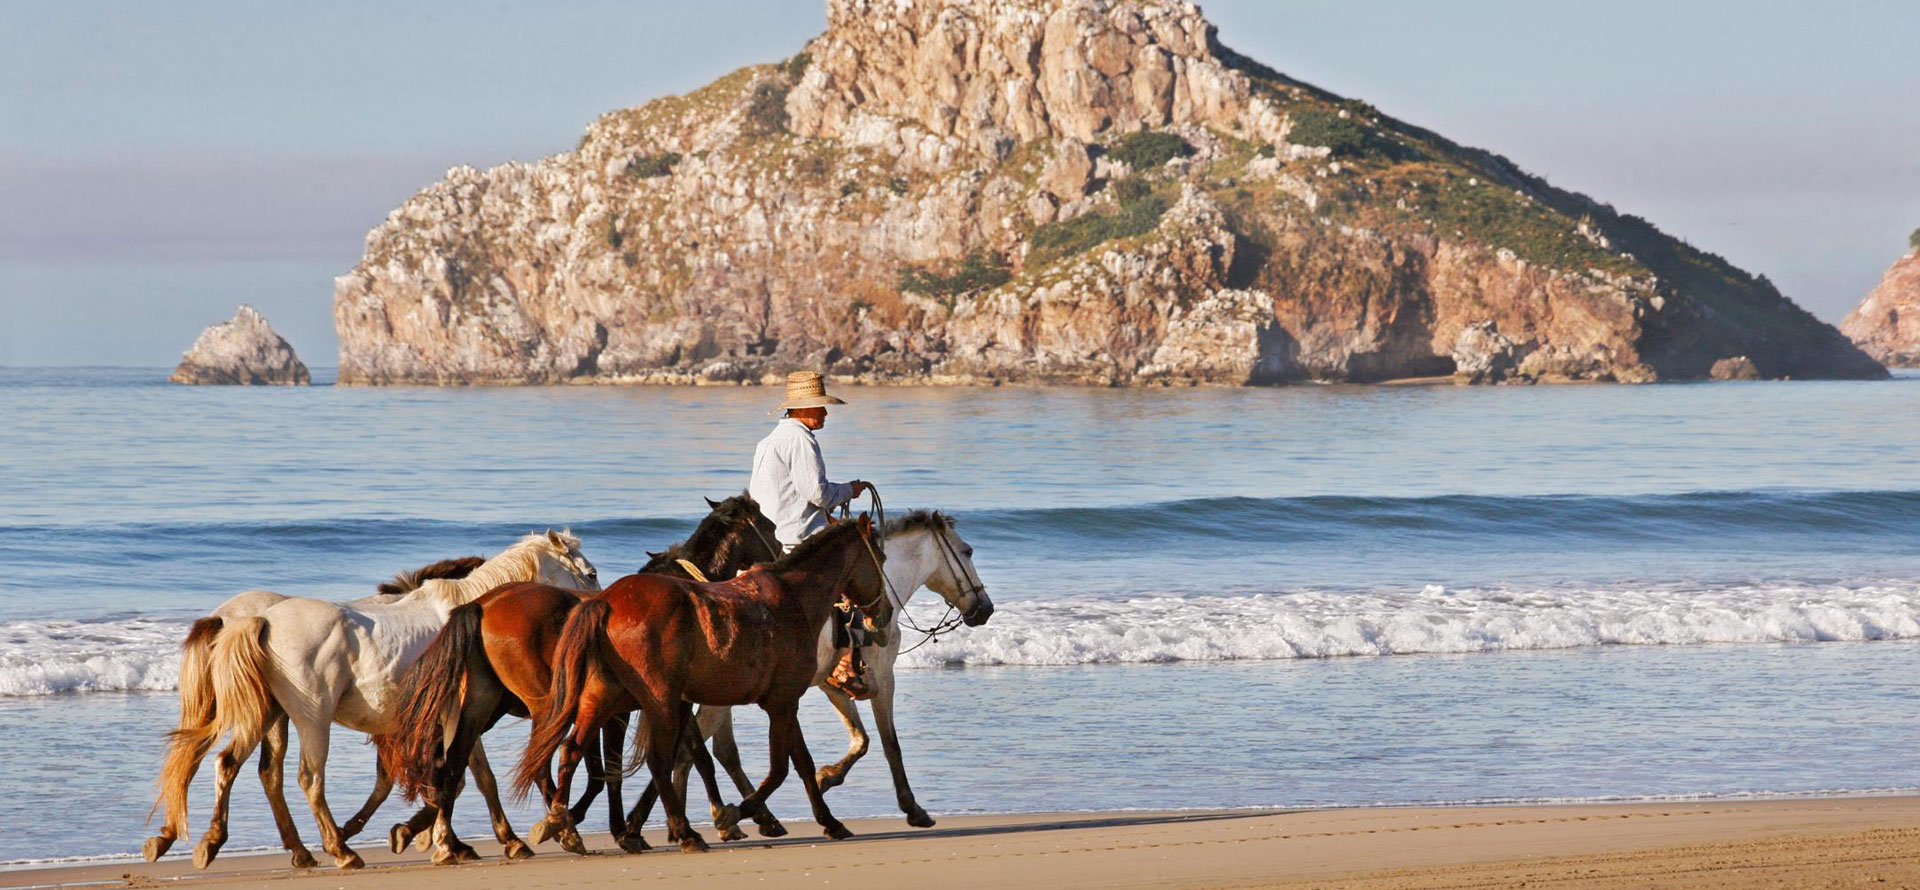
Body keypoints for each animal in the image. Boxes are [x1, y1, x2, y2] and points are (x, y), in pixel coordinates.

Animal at [161, 529, 595, 870]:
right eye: (589, 573)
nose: (589, 606)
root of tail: (258, 620)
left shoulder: (451, 719)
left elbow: (466, 779)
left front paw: (446, 839)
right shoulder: (460, 715)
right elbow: (462, 779)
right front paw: (463, 841)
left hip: (266, 715)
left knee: (235, 765)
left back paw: (240, 846)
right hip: (311, 718)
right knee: (306, 777)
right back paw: (340, 850)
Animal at [370, 494, 775, 863]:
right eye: (769, 525)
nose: (777, 558)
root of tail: (480, 605)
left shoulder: (657, 705)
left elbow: (679, 758)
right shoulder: (636, 709)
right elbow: (617, 769)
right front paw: (623, 827)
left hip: (485, 706)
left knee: (452, 764)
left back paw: (442, 836)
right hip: (538, 705)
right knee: (524, 764)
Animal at [514, 517, 894, 851]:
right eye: (881, 558)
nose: (886, 613)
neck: (793, 598)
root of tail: (606, 601)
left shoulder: (785, 701)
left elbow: (802, 761)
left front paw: (829, 821)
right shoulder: (782, 703)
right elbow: (780, 768)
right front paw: (737, 814)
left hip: (604, 697)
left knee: (572, 749)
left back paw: (562, 825)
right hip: (661, 703)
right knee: (657, 761)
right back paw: (684, 833)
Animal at [629, 510, 990, 843]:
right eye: (968, 551)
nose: (985, 609)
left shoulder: (832, 685)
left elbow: (860, 740)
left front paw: (825, 779)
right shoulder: (882, 678)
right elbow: (889, 744)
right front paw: (912, 808)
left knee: (709, 751)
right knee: (692, 752)